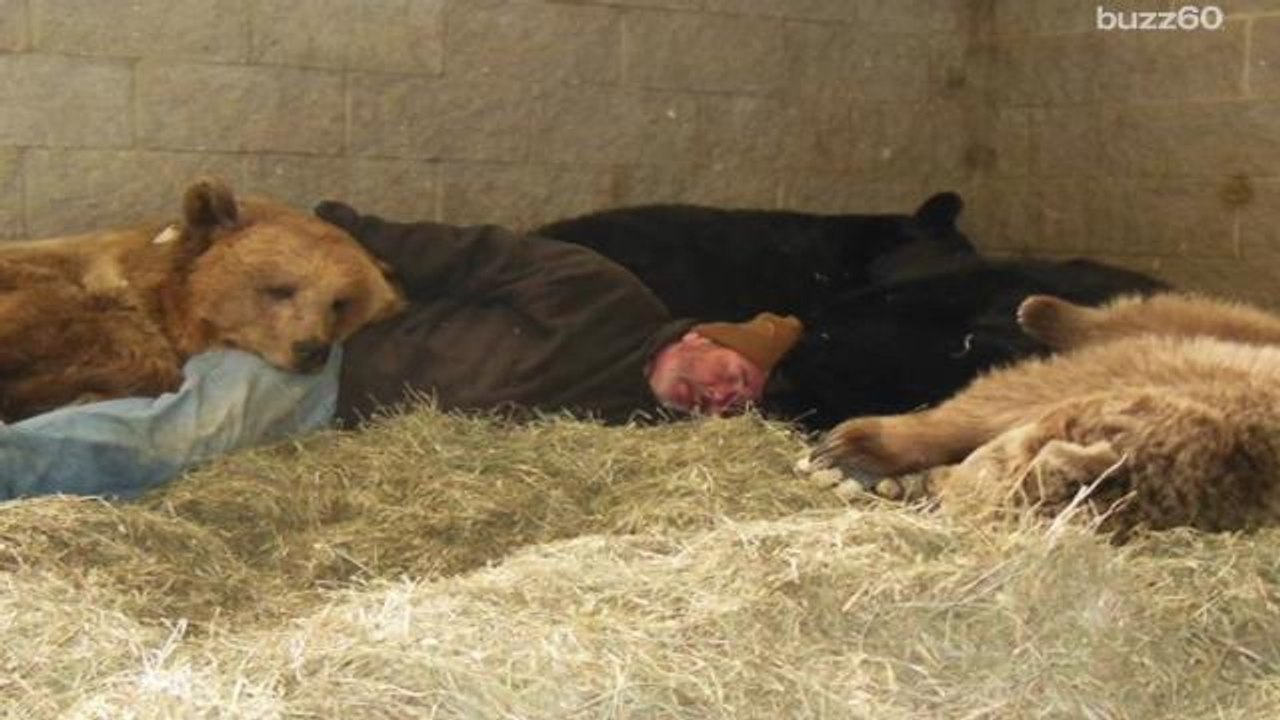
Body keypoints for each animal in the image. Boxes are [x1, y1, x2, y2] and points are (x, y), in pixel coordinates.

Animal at [808, 292, 1280, 537]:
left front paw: (892, 481)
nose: (940, 487)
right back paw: (1046, 311)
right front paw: (854, 450)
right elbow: (1011, 394)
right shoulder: (1172, 368)